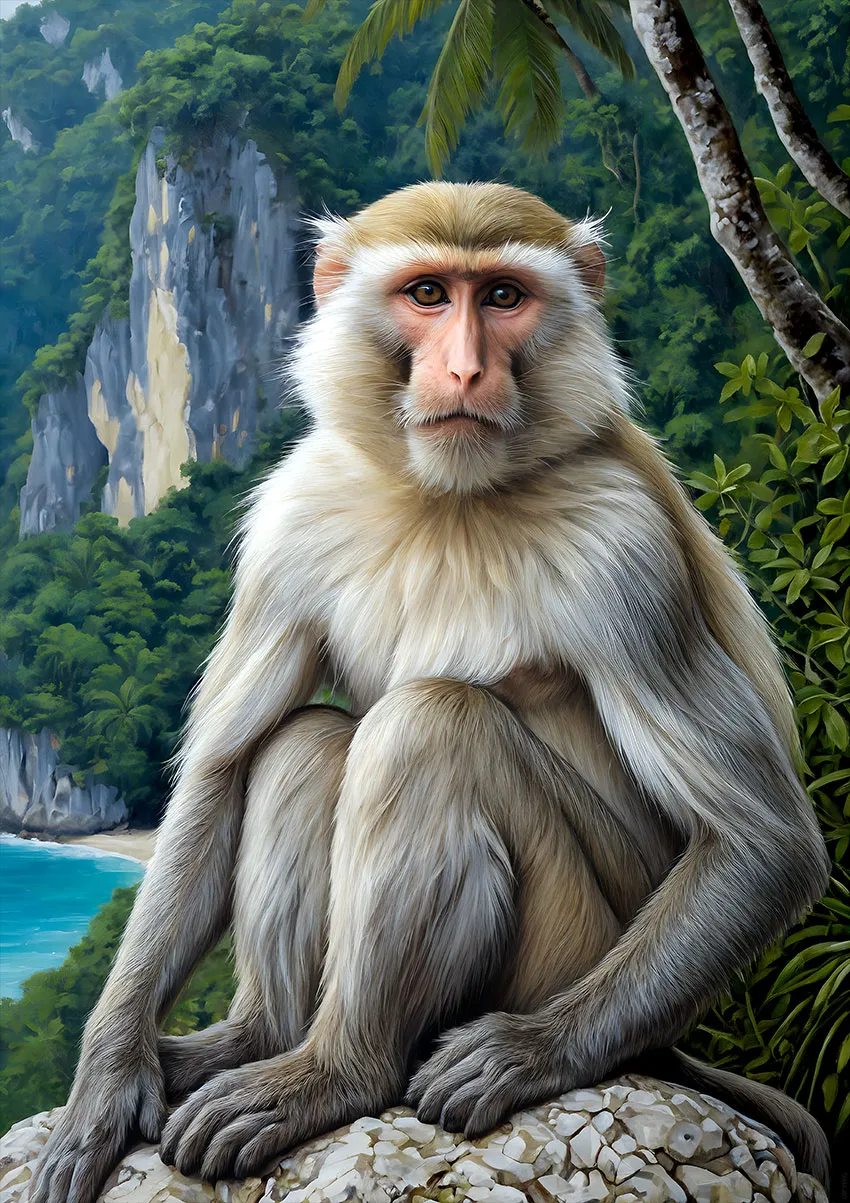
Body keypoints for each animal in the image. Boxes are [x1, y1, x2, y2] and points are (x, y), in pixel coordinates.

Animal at [29, 181, 831, 1203]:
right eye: (425, 293)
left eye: (502, 297)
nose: (462, 368)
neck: (447, 497)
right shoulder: (291, 515)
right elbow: (219, 770)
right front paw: (106, 1078)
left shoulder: (625, 552)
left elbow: (764, 843)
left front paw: (529, 1054)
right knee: (308, 741)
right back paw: (258, 1038)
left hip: (575, 945)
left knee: (429, 726)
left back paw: (338, 1072)